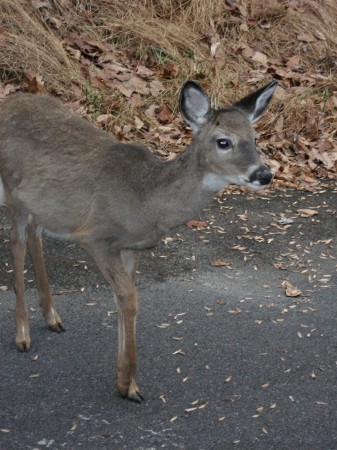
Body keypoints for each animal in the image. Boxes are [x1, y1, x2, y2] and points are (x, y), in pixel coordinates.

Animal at [0, 79, 276, 402]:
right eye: (223, 142)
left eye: (255, 139)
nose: (264, 174)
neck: (146, 199)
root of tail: (9, 103)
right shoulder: (95, 236)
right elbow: (129, 298)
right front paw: (127, 384)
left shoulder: (131, 247)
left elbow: (122, 299)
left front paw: (126, 381)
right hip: (12, 192)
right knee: (16, 242)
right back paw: (22, 335)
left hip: (44, 205)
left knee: (34, 233)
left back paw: (52, 317)